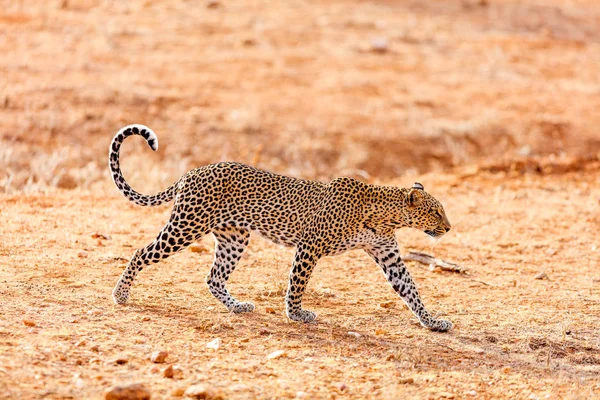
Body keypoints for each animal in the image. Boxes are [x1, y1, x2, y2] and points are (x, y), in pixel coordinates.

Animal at [109, 124, 454, 332]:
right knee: (140, 252)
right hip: (186, 226)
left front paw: (432, 321)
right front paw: (297, 314)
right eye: (436, 212)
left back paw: (238, 306)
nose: (449, 228)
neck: (384, 215)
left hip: (234, 238)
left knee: (214, 277)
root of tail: (191, 172)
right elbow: (297, 283)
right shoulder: (310, 246)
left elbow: (410, 289)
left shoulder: (387, 254)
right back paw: (120, 294)